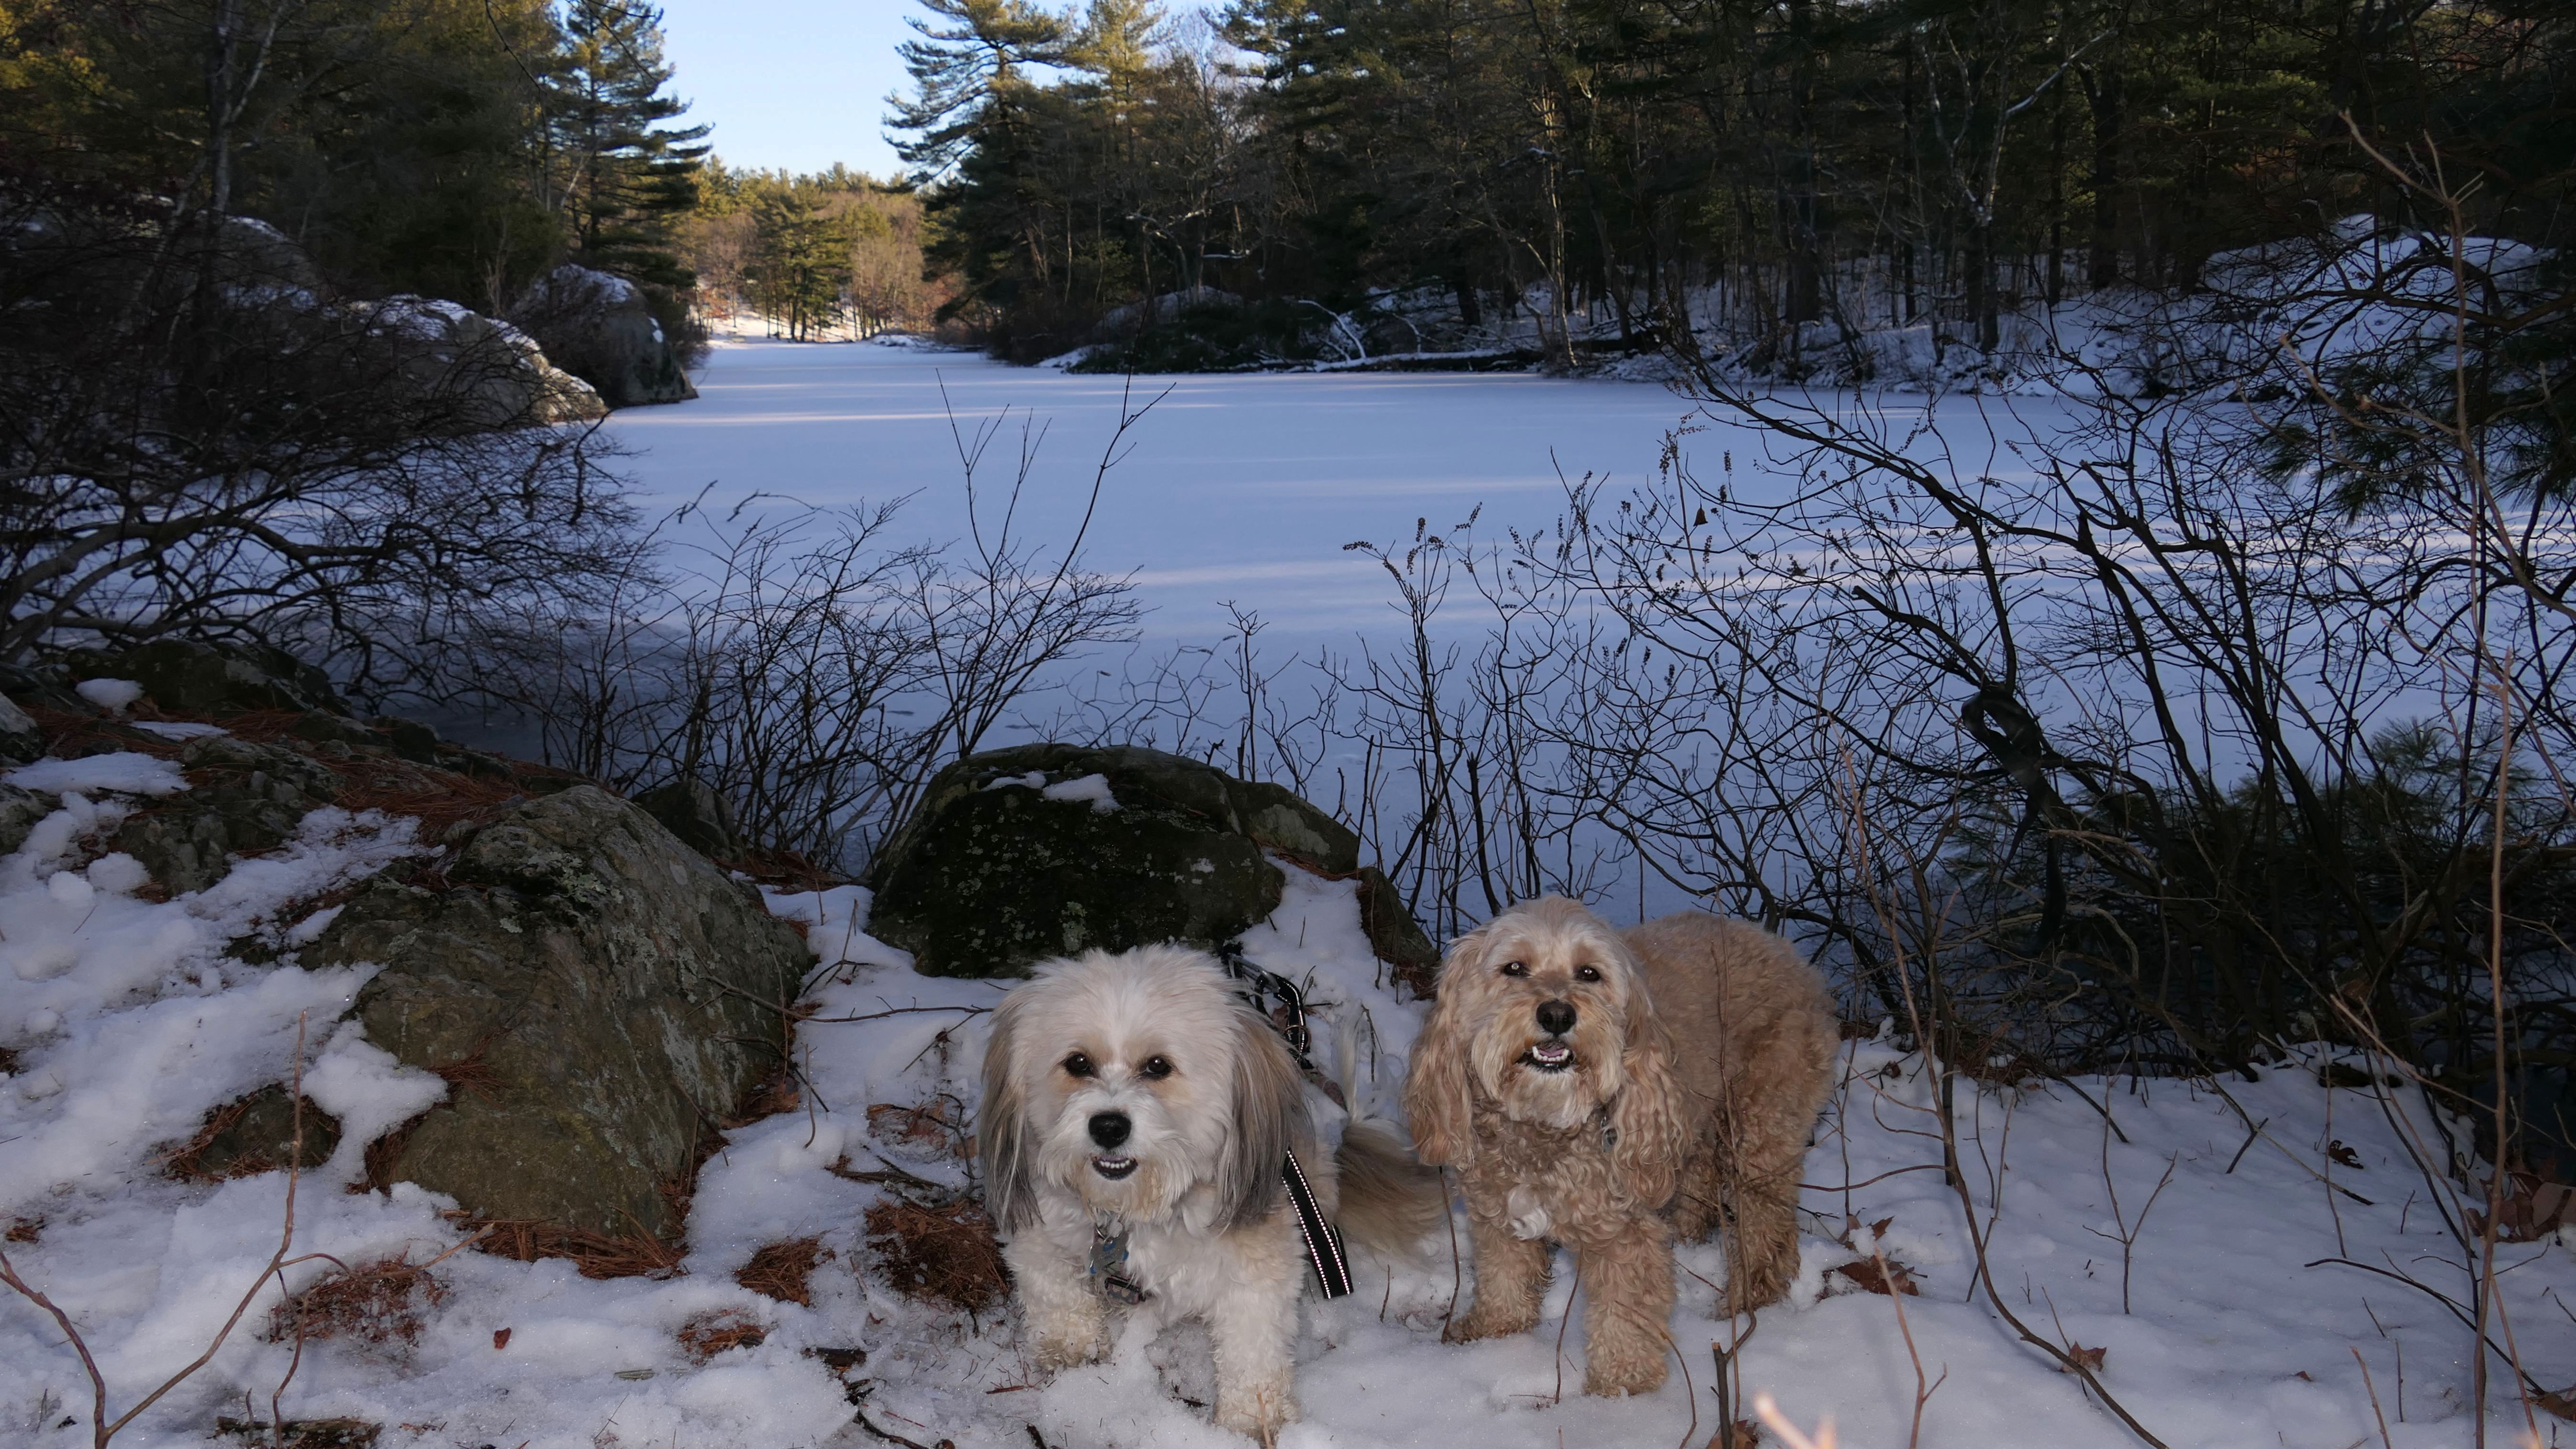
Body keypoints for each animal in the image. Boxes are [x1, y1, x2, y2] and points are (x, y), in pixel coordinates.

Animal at [979, 944, 1441, 1444]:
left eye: (1158, 1065)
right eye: (1078, 1063)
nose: (1108, 1126)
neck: (1139, 1207)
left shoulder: (1256, 1269)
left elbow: (1252, 1351)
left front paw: (1251, 1420)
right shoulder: (1040, 1229)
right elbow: (1052, 1287)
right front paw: (1071, 1347)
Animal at [1404, 896, 1836, 1395]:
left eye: (1589, 973)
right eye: (1514, 967)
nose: (1557, 1014)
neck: (1542, 1125)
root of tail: (1791, 955)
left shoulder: (1623, 1235)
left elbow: (1623, 1315)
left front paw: (1620, 1390)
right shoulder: (1498, 1215)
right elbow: (1503, 1277)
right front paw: (1495, 1335)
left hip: (1760, 1127)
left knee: (1767, 1223)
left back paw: (1749, 1297)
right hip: (1696, 1123)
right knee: (1699, 1178)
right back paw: (1688, 1235)